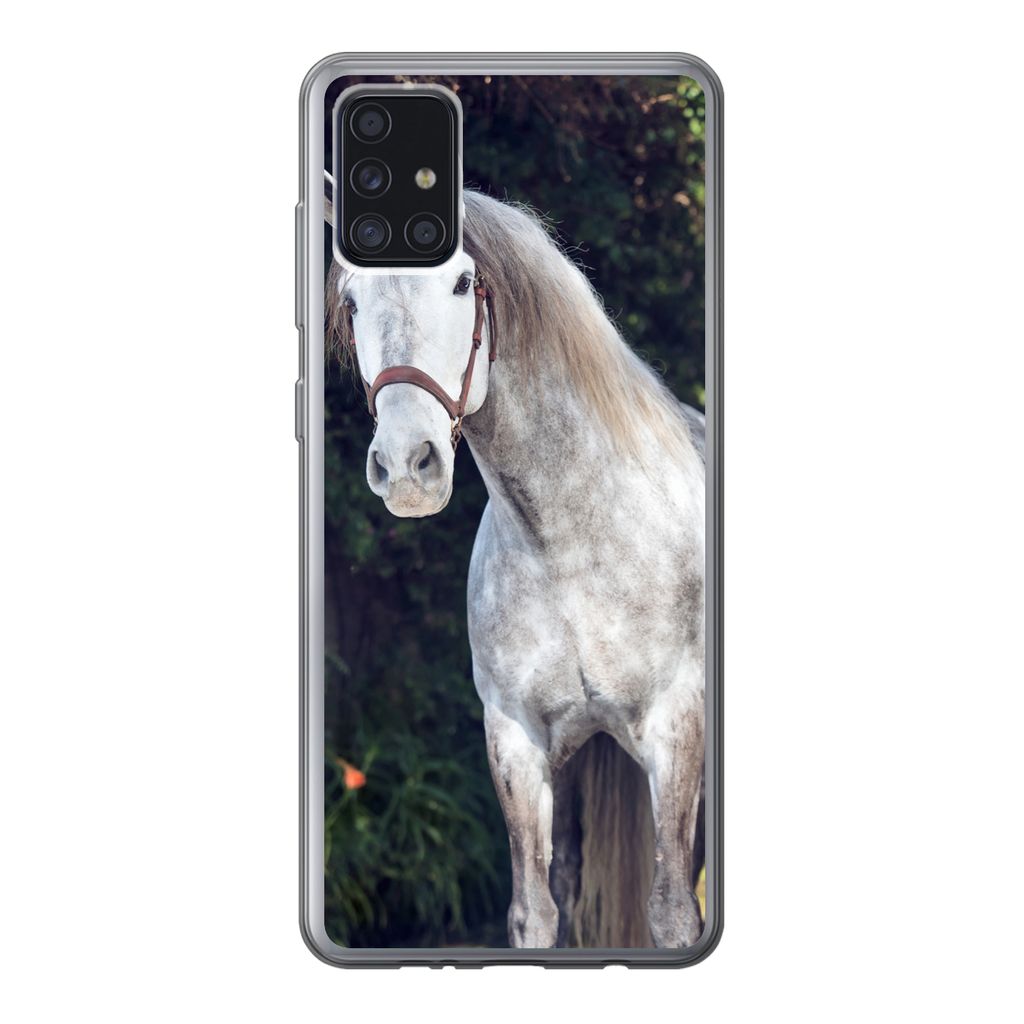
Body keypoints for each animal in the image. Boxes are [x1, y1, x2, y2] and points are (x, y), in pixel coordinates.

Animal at [326, 191, 706, 949]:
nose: (407, 467)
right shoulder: (515, 741)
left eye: (462, 284)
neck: (572, 543)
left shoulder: (677, 729)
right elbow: (536, 911)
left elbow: (675, 914)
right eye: (352, 300)